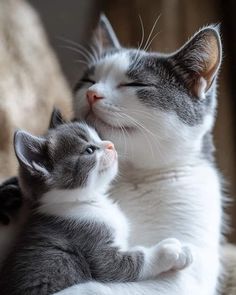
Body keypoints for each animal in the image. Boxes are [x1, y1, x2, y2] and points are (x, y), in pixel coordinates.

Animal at [0, 109, 192, 295]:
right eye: (89, 150)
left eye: (99, 137)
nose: (110, 144)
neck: (88, 200)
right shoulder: (88, 243)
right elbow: (124, 265)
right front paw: (172, 250)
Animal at [55, 15, 223, 295]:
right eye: (88, 79)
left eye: (135, 84)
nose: (91, 93)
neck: (130, 174)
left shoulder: (184, 278)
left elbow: (97, 287)